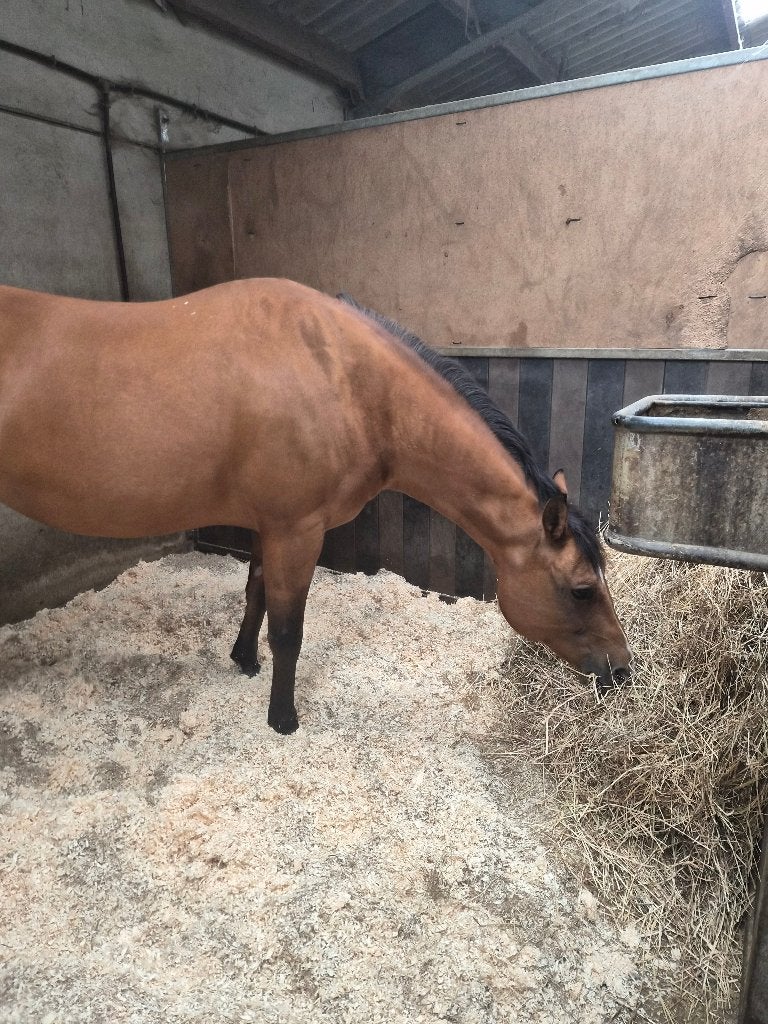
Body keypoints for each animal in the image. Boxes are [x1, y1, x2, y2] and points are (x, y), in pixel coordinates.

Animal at [0, 277, 630, 733]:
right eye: (582, 589)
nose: (621, 671)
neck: (344, 379)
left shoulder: (269, 526)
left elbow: (254, 592)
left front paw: (243, 660)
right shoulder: (296, 530)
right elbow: (288, 631)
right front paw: (282, 718)